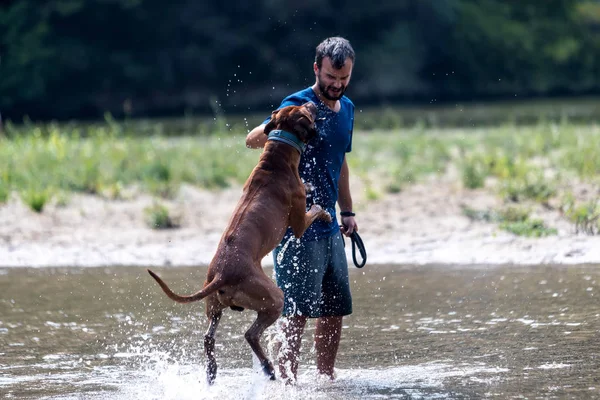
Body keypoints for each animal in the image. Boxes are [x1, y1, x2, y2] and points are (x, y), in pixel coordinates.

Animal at [148, 102, 330, 384]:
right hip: (275, 297)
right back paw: (267, 366)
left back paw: (212, 371)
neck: (276, 156)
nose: (312, 103)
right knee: (250, 334)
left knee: (209, 337)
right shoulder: (299, 223)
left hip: (214, 306)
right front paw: (325, 210)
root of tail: (221, 274)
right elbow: (316, 210)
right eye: (305, 110)